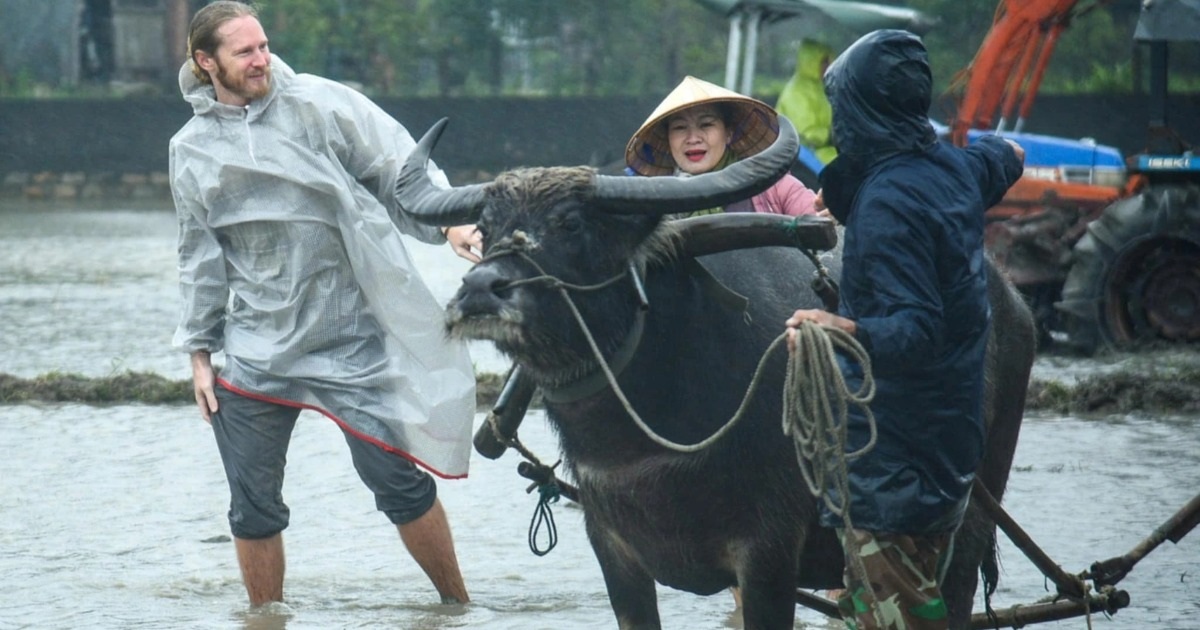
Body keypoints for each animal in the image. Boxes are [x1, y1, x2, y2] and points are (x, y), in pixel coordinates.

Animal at [398, 115, 1036, 624]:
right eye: (485, 228)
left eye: (572, 223)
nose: (481, 289)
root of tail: (1011, 296)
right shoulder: (616, 555)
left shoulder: (768, 557)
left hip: (964, 520)